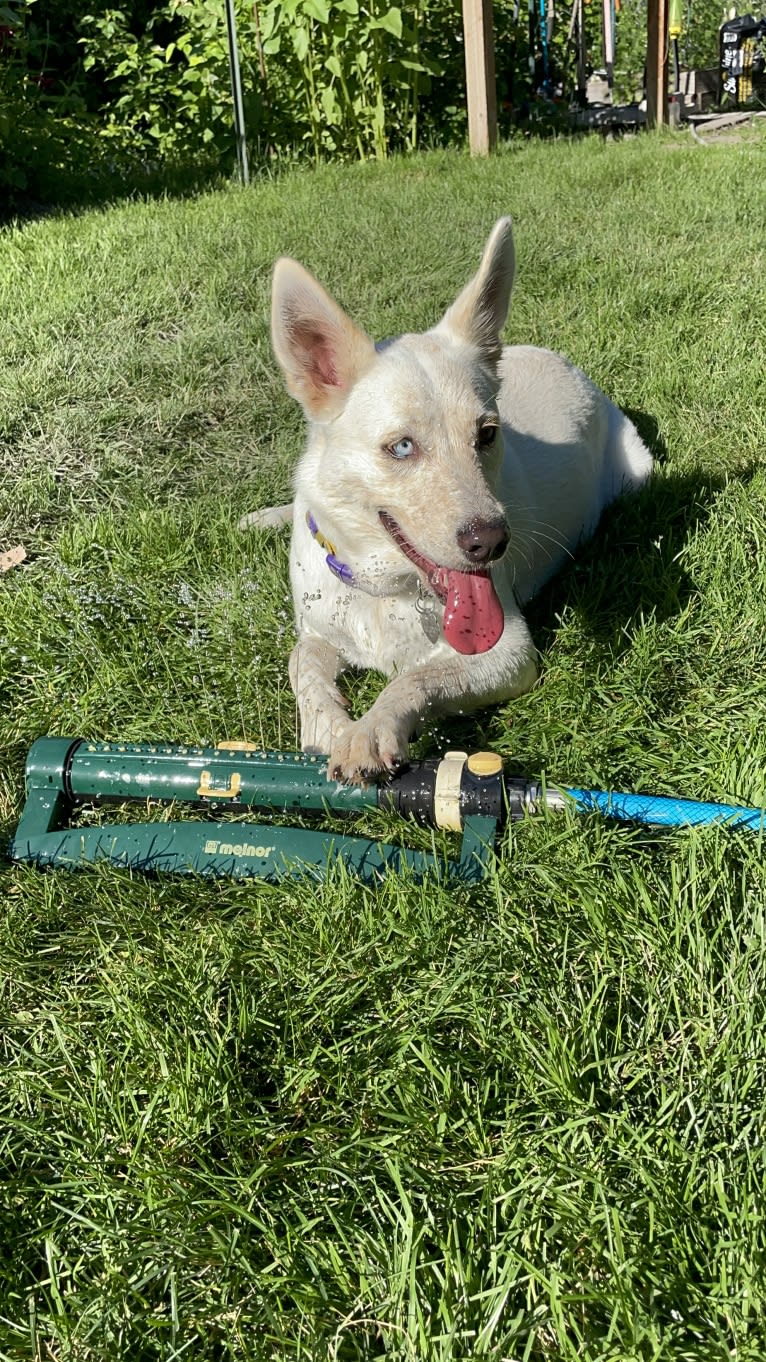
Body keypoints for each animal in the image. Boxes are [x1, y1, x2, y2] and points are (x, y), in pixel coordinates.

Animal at [243, 217, 648, 784]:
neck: (382, 587)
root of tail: (563, 361)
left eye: (488, 435)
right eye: (402, 447)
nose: (492, 543)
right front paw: (328, 726)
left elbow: (414, 679)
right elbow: (301, 664)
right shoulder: (317, 633)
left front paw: (369, 731)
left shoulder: (509, 653)